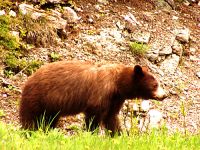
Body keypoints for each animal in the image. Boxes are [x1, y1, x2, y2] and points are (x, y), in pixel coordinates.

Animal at [19, 60, 167, 135]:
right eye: (155, 84)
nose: (165, 95)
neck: (117, 84)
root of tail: (29, 78)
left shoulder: (115, 99)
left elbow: (111, 117)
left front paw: (117, 135)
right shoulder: (101, 93)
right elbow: (94, 116)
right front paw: (92, 134)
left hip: (51, 106)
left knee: (49, 120)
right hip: (38, 97)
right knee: (30, 118)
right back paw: (29, 132)